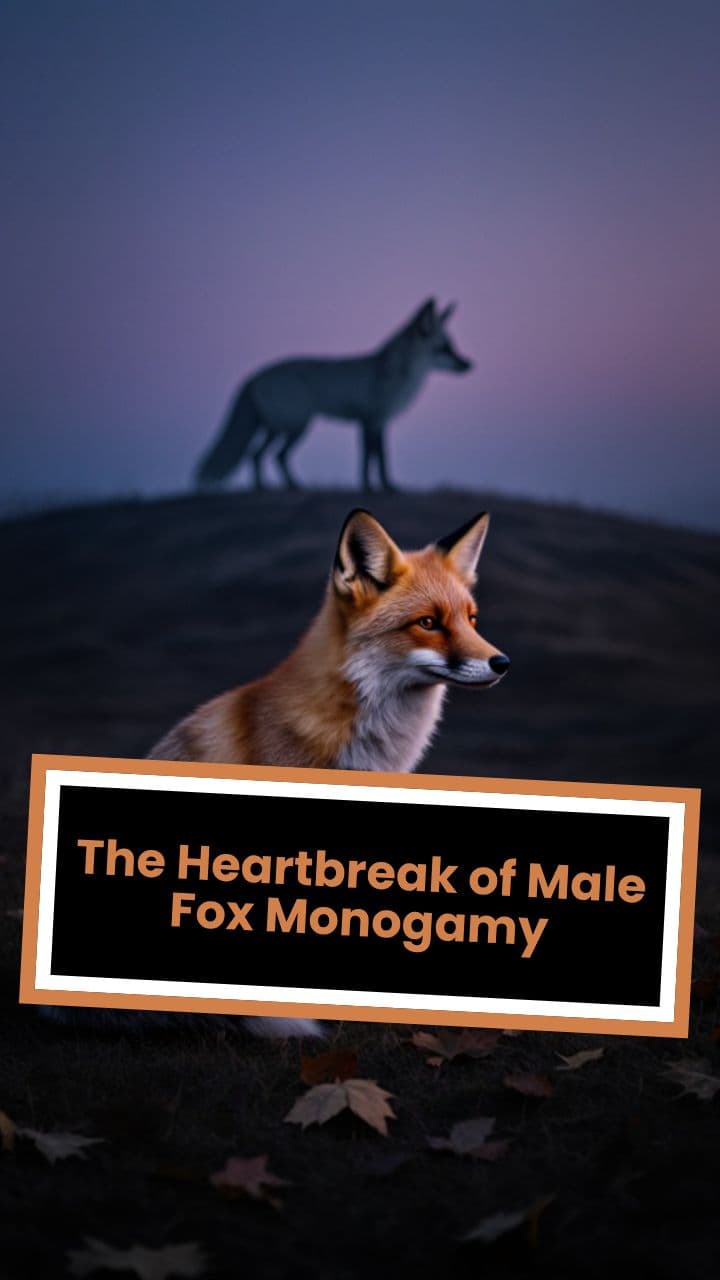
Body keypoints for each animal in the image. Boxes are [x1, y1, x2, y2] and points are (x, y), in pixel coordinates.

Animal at [193, 297, 472, 492]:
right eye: (444, 348)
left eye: (452, 346)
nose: (469, 364)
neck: (398, 374)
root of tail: (251, 377)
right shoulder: (372, 420)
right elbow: (373, 460)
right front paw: (375, 489)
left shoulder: (376, 422)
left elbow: (375, 460)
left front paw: (380, 488)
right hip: (296, 427)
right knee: (272, 456)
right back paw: (289, 487)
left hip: (278, 427)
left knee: (257, 455)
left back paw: (268, 489)